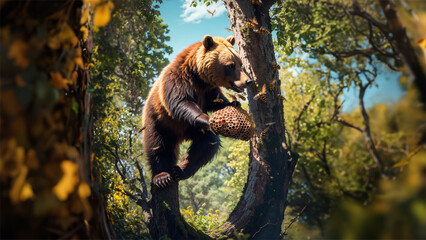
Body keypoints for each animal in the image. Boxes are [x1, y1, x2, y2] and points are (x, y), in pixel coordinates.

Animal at [141, 35, 251, 188]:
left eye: (240, 64)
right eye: (230, 65)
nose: (248, 81)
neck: (198, 77)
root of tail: (179, 137)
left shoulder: (208, 90)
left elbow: (216, 100)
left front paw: (233, 103)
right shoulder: (178, 81)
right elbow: (181, 102)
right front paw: (208, 119)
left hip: (192, 129)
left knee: (207, 144)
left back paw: (180, 171)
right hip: (159, 120)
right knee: (157, 145)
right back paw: (162, 176)